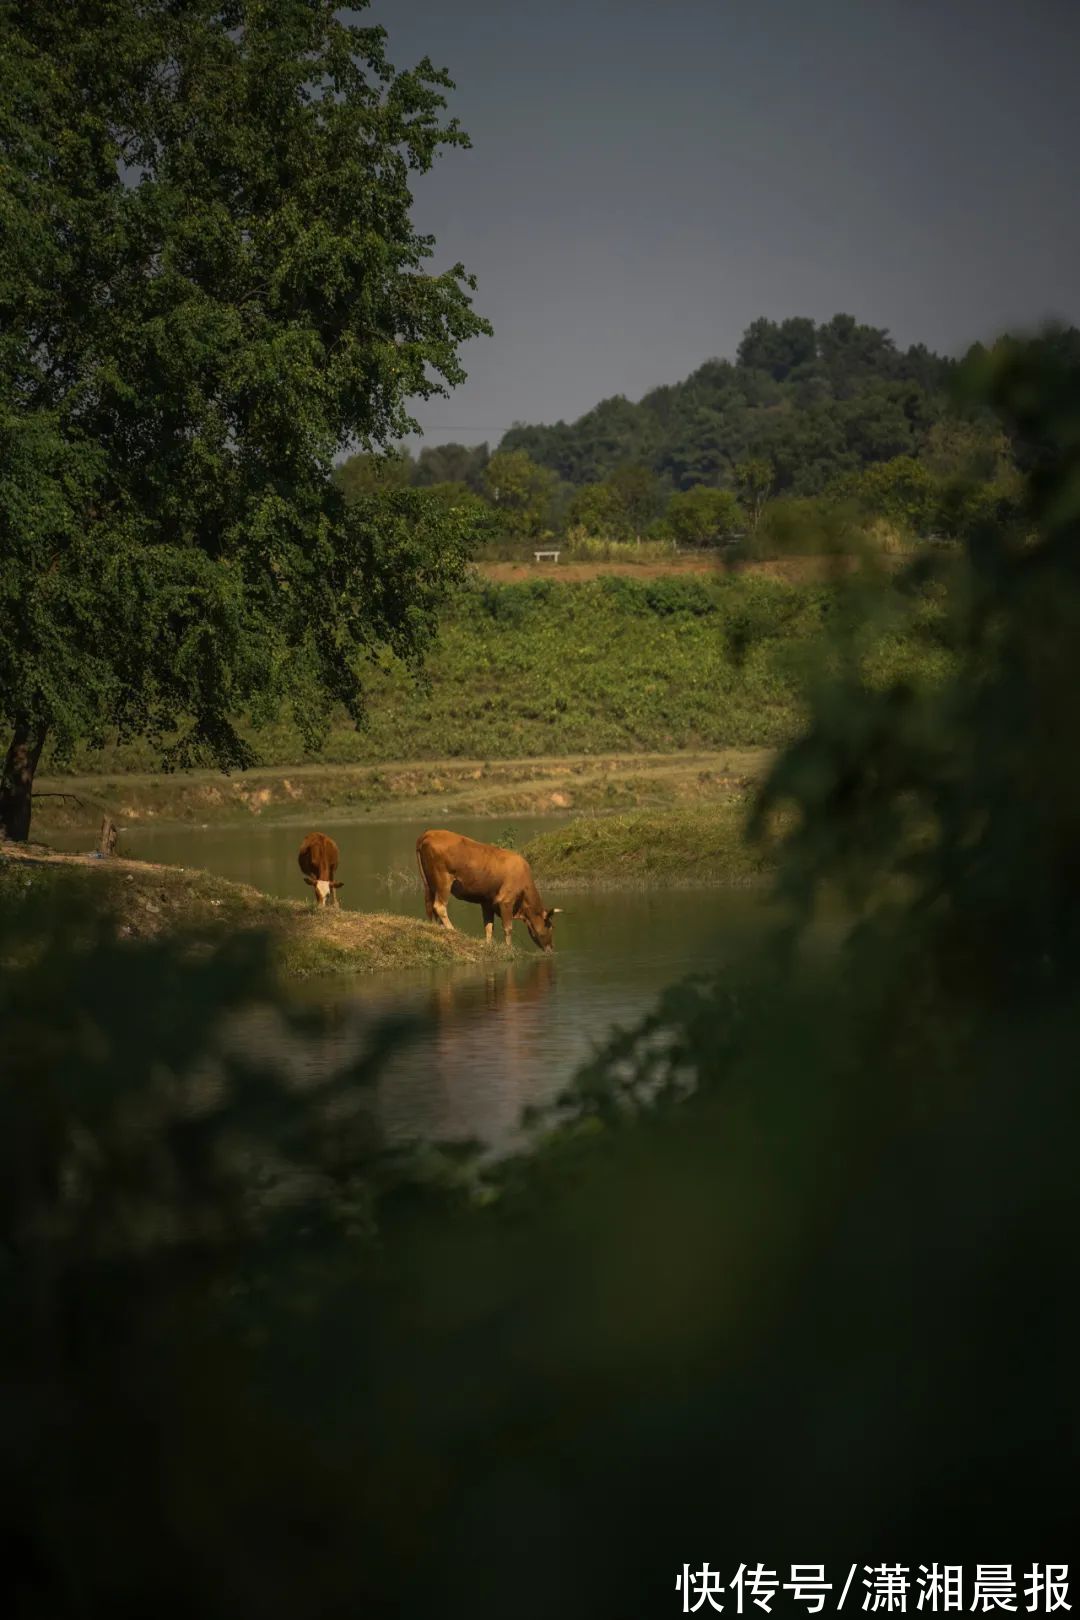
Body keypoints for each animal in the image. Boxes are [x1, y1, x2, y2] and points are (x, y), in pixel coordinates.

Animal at [417, 835, 563, 946]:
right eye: (550, 926)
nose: (551, 948)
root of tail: (428, 834)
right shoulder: (506, 901)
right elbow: (508, 928)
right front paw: (508, 948)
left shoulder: (487, 902)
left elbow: (488, 926)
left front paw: (488, 944)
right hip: (443, 881)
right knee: (439, 906)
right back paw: (453, 930)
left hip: (429, 884)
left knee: (429, 905)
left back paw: (436, 927)